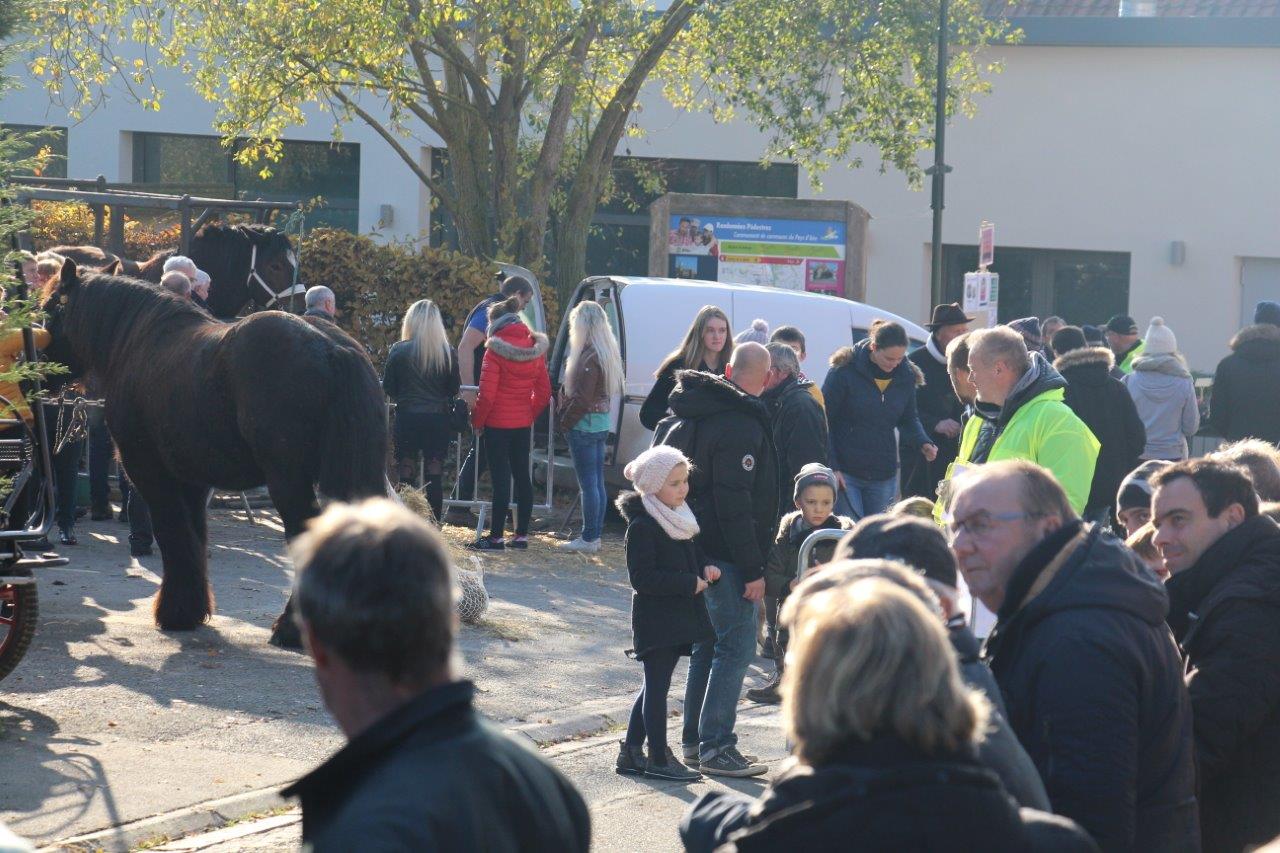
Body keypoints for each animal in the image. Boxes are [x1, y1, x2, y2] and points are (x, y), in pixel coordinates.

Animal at [43, 258, 389, 637]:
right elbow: (194, 537)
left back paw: (289, 627)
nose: (37, 375)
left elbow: (173, 534)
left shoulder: (151, 474)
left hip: (289, 481)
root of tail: (332, 348)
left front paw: (175, 612)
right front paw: (192, 609)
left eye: (48, 310)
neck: (137, 344)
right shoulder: (193, 481)